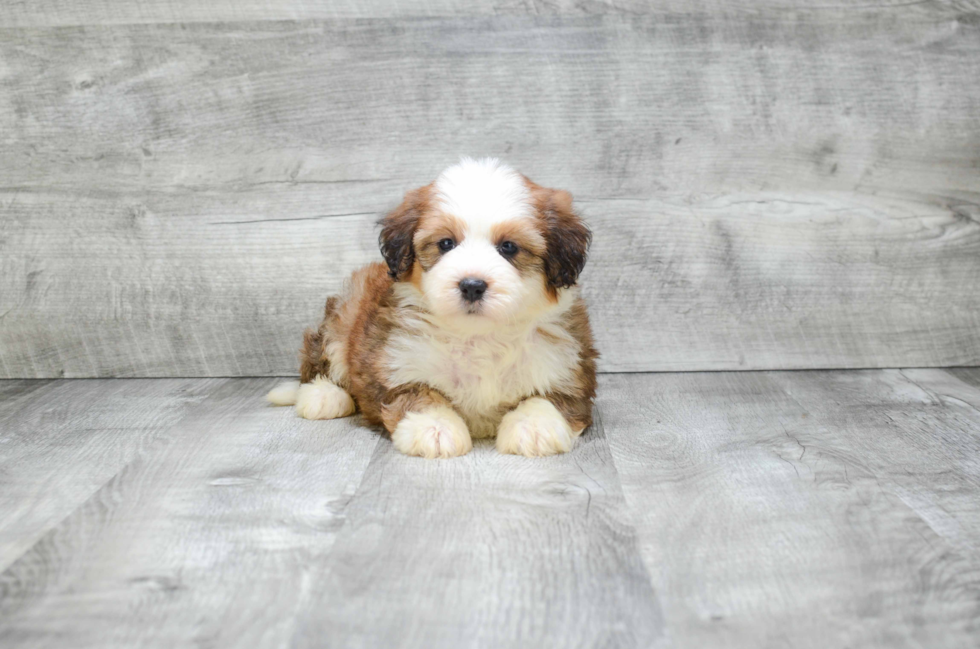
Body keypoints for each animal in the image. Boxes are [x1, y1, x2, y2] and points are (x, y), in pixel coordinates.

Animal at [272, 159, 600, 458]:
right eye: (446, 243)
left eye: (508, 247)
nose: (472, 285)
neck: (478, 335)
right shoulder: (396, 363)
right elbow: (420, 394)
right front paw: (435, 428)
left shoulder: (569, 368)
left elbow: (550, 398)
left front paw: (533, 426)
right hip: (344, 313)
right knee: (321, 359)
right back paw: (323, 395)